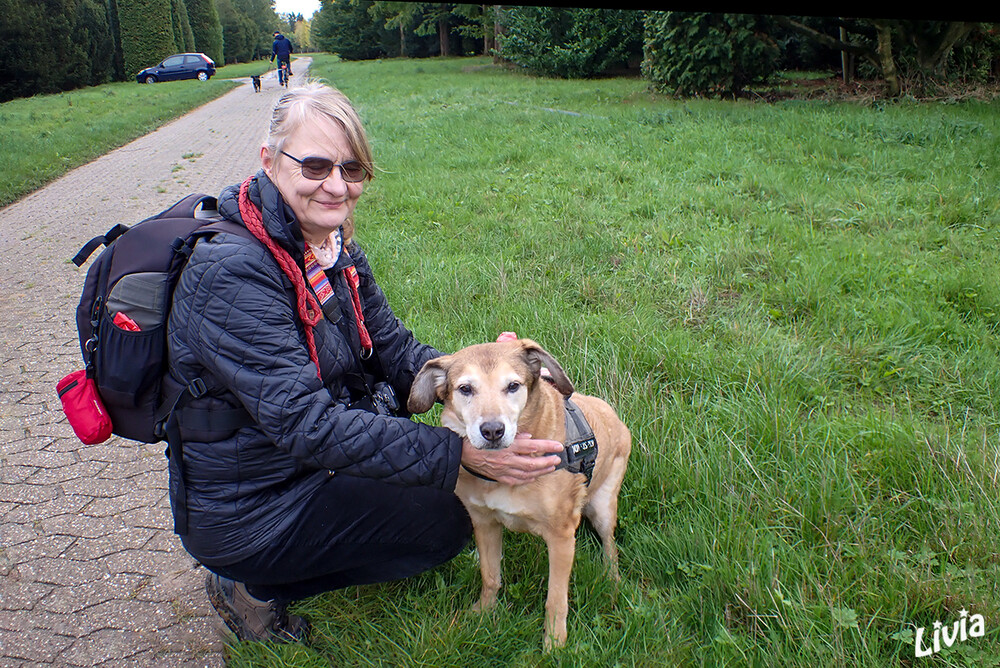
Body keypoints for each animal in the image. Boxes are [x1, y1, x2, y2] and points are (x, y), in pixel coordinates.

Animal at [408, 340, 632, 648]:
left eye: (513, 386)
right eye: (465, 389)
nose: (492, 430)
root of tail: (613, 414)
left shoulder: (562, 536)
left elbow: (556, 599)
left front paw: (554, 643)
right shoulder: (485, 523)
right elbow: (490, 576)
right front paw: (483, 613)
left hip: (603, 507)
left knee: (610, 547)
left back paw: (612, 580)